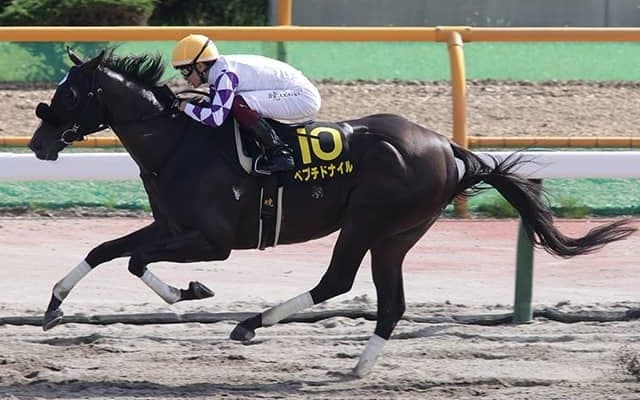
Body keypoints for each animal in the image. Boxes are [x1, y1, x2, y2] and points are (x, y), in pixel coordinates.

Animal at [28, 48, 636, 377]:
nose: (38, 144)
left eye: (69, 94)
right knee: (389, 302)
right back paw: (358, 366)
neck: (179, 143)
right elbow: (105, 250)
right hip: (398, 233)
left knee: (337, 280)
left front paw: (190, 292)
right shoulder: (171, 226)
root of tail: (450, 148)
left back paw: (252, 324)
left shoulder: (213, 240)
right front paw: (54, 305)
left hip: (369, 219)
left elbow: (133, 261)